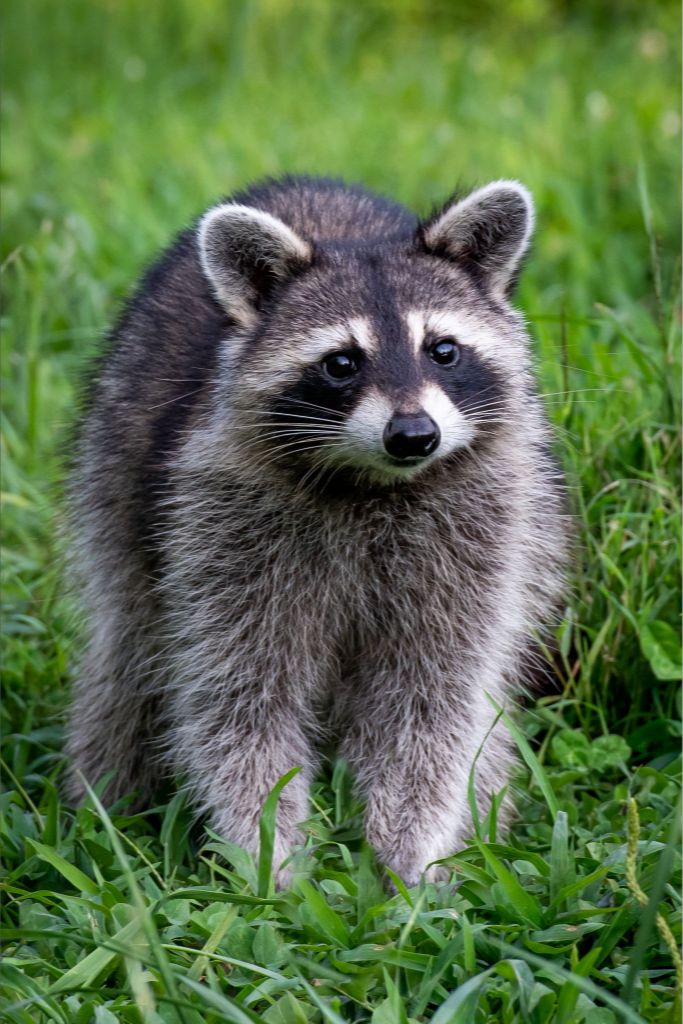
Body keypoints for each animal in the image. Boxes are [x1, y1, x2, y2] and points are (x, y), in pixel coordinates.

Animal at [67, 175, 569, 886]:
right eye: (340, 363)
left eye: (443, 350)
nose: (413, 436)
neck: (372, 481)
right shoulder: (221, 528)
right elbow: (240, 699)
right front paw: (271, 858)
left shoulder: (481, 531)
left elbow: (436, 700)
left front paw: (410, 856)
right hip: (114, 469)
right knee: (128, 658)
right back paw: (105, 803)